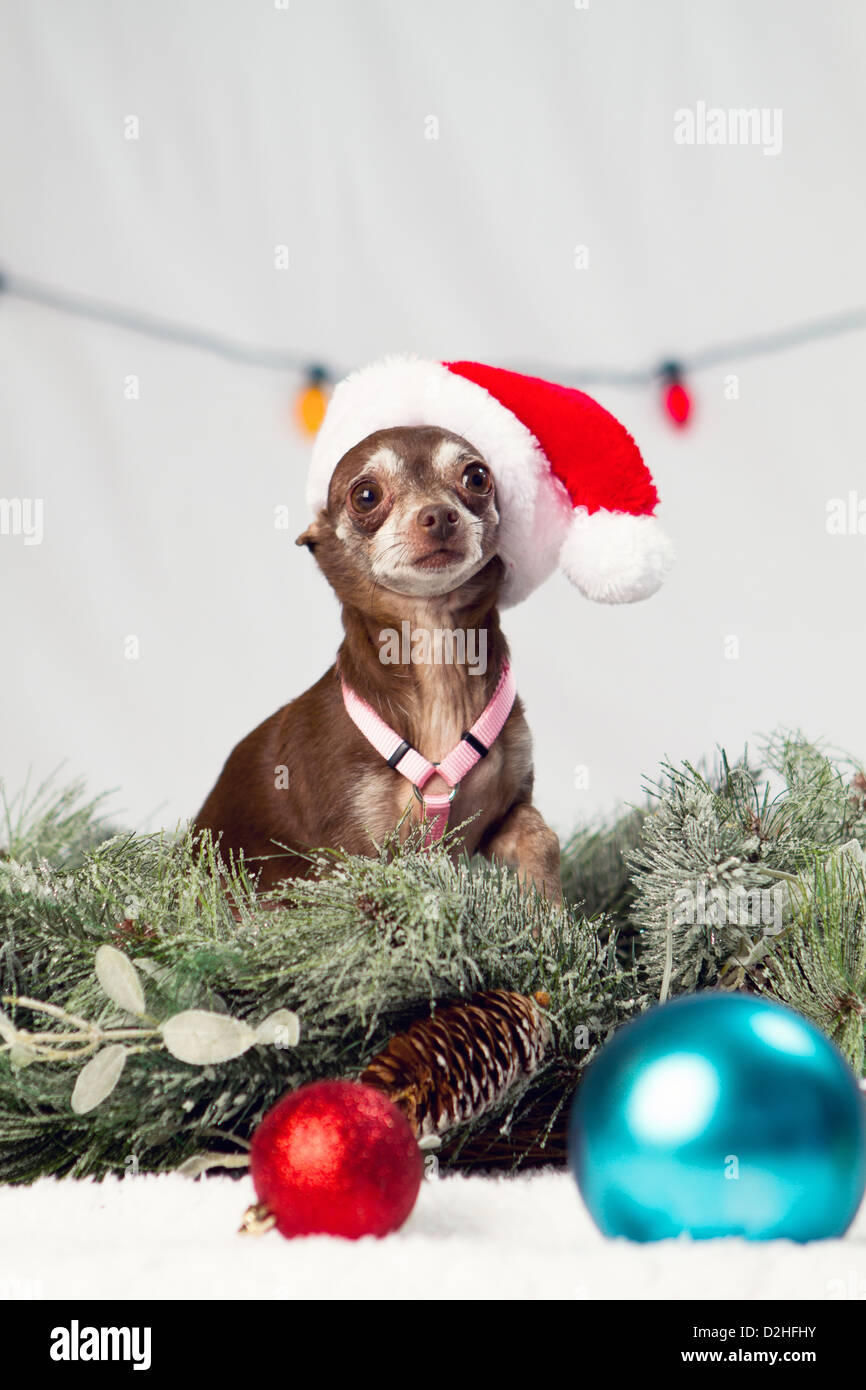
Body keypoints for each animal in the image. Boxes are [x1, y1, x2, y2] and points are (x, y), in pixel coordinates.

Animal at [194, 425, 561, 900]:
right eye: (366, 495)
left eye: (477, 477)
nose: (439, 514)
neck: (436, 650)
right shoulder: (356, 852)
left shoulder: (501, 813)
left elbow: (541, 836)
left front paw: (544, 908)